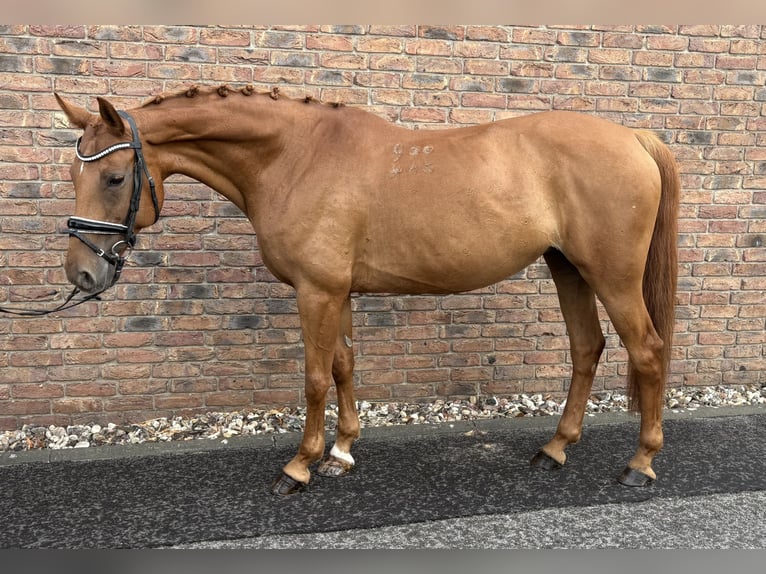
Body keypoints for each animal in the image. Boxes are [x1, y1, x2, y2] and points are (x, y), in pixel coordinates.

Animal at [54, 84, 679, 495]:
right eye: (74, 174)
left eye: (114, 177)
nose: (82, 275)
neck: (296, 157)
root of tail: (634, 137)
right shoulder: (339, 292)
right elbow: (343, 367)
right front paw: (341, 453)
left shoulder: (316, 291)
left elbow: (313, 378)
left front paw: (299, 466)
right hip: (567, 267)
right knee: (586, 348)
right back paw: (554, 450)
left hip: (612, 275)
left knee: (647, 351)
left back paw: (640, 463)